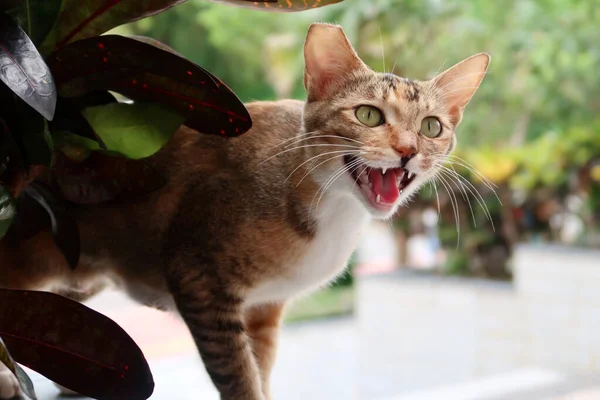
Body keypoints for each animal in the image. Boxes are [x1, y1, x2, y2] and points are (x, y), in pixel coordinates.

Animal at [0, 23, 488, 400]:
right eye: (368, 115)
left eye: (432, 127)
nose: (408, 151)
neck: (328, 205)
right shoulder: (199, 279)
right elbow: (238, 374)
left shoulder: (264, 308)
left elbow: (262, 367)